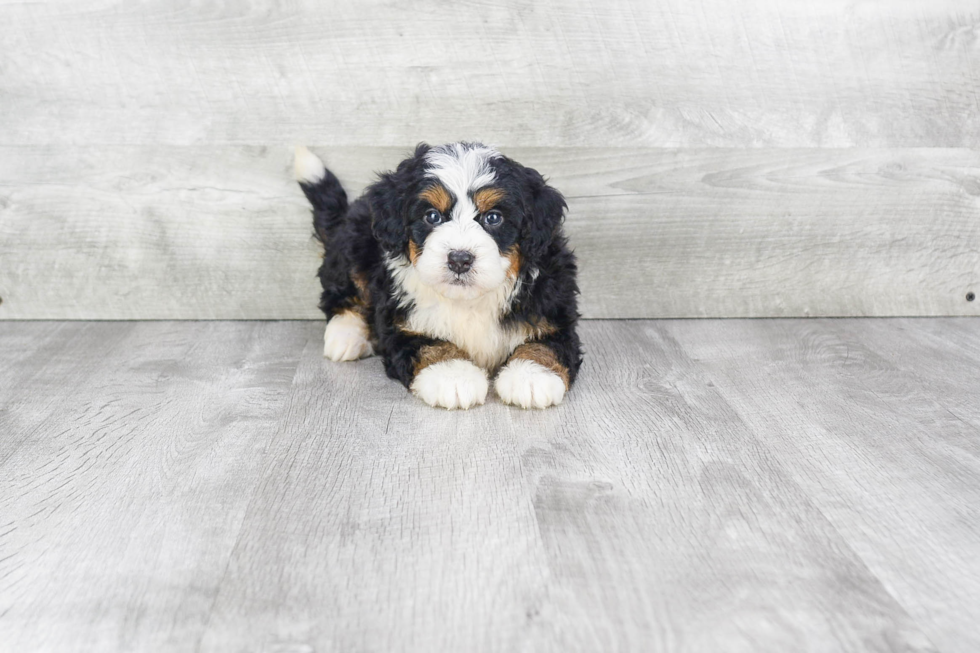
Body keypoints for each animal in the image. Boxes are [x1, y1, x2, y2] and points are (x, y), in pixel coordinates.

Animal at [290, 142, 580, 408]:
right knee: (343, 293)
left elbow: (546, 342)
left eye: (493, 218)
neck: (468, 300)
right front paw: (453, 377)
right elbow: (430, 345)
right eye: (432, 216)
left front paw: (531, 376)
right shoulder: (401, 323)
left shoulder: (552, 310)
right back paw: (345, 336)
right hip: (355, 243)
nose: (459, 259)